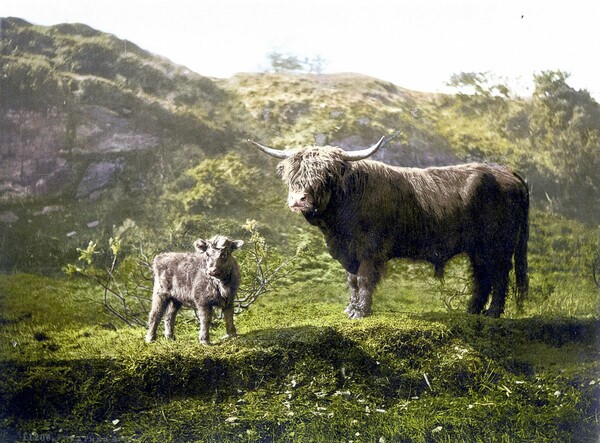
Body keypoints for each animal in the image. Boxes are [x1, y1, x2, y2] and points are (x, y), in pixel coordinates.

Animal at [251, 135, 528, 320]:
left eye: (325, 176)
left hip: (498, 245)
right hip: (478, 248)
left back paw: (492, 313)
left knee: (499, 275)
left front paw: (361, 312)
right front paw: (351, 308)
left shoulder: (370, 250)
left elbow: (364, 279)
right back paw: (471, 311)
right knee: (482, 275)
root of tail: (508, 173)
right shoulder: (348, 252)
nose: (298, 199)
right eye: (293, 175)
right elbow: (352, 280)